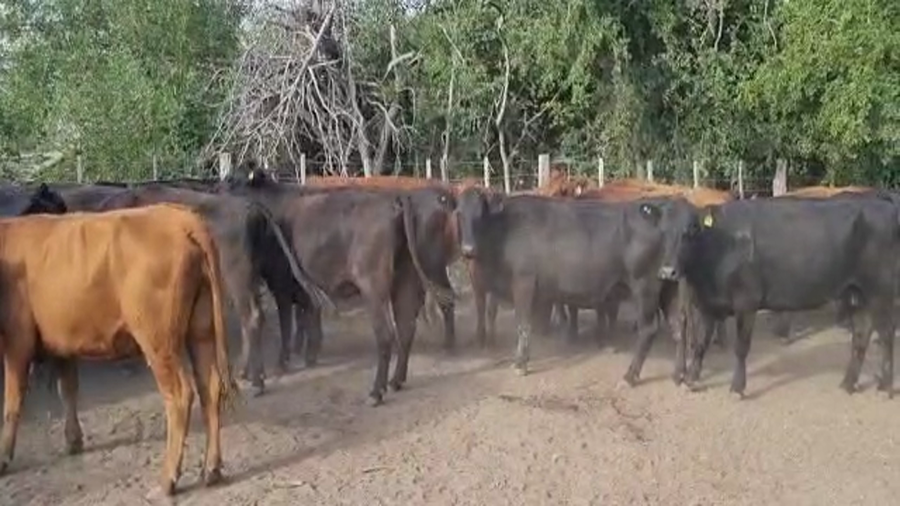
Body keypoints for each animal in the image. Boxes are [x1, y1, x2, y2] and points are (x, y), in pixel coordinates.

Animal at [0, 204, 239, 496]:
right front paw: (73, 440)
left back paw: (168, 479)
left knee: (181, 394)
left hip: (158, 340)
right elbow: (67, 388)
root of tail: (180, 216)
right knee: (210, 387)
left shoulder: (16, 339)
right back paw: (211, 470)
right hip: (201, 330)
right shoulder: (61, 340)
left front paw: (3, 458)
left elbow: (12, 401)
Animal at [97, 183, 331, 396]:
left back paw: (257, 381)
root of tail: (251, 207)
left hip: (238, 276)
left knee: (255, 315)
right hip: (262, 274)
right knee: (273, 308)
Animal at [223, 175, 457, 405]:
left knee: (387, 333)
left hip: (376, 284)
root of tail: (395, 201)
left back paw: (376, 392)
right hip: (407, 277)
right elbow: (308, 315)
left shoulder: (280, 282)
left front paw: (284, 361)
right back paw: (397, 380)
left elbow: (287, 322)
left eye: (233, 182)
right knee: (407, 327)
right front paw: (309, 354)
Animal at [455, 186, 694, 379]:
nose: (468, 249)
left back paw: (631, 374)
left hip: (645, 289)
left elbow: (523, 324)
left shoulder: (523, 283)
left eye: (480, 214)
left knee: (649, 329)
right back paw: (679, 373)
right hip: (668, 286)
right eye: (459, 213)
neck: (506, 228)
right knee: (678, 325)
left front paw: (521, 363)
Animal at [680, 195, 900, 398]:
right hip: (856, 293)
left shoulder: (747, 301)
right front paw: (691, 379)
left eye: (690, 232)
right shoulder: (707, 304)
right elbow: (700, 343)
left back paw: (884, 387)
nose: (671, 270)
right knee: (862, 334)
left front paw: (737, 388)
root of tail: (881, 202)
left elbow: (741, 347)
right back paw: (848, 384)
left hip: (879, 291)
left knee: (887, 333)